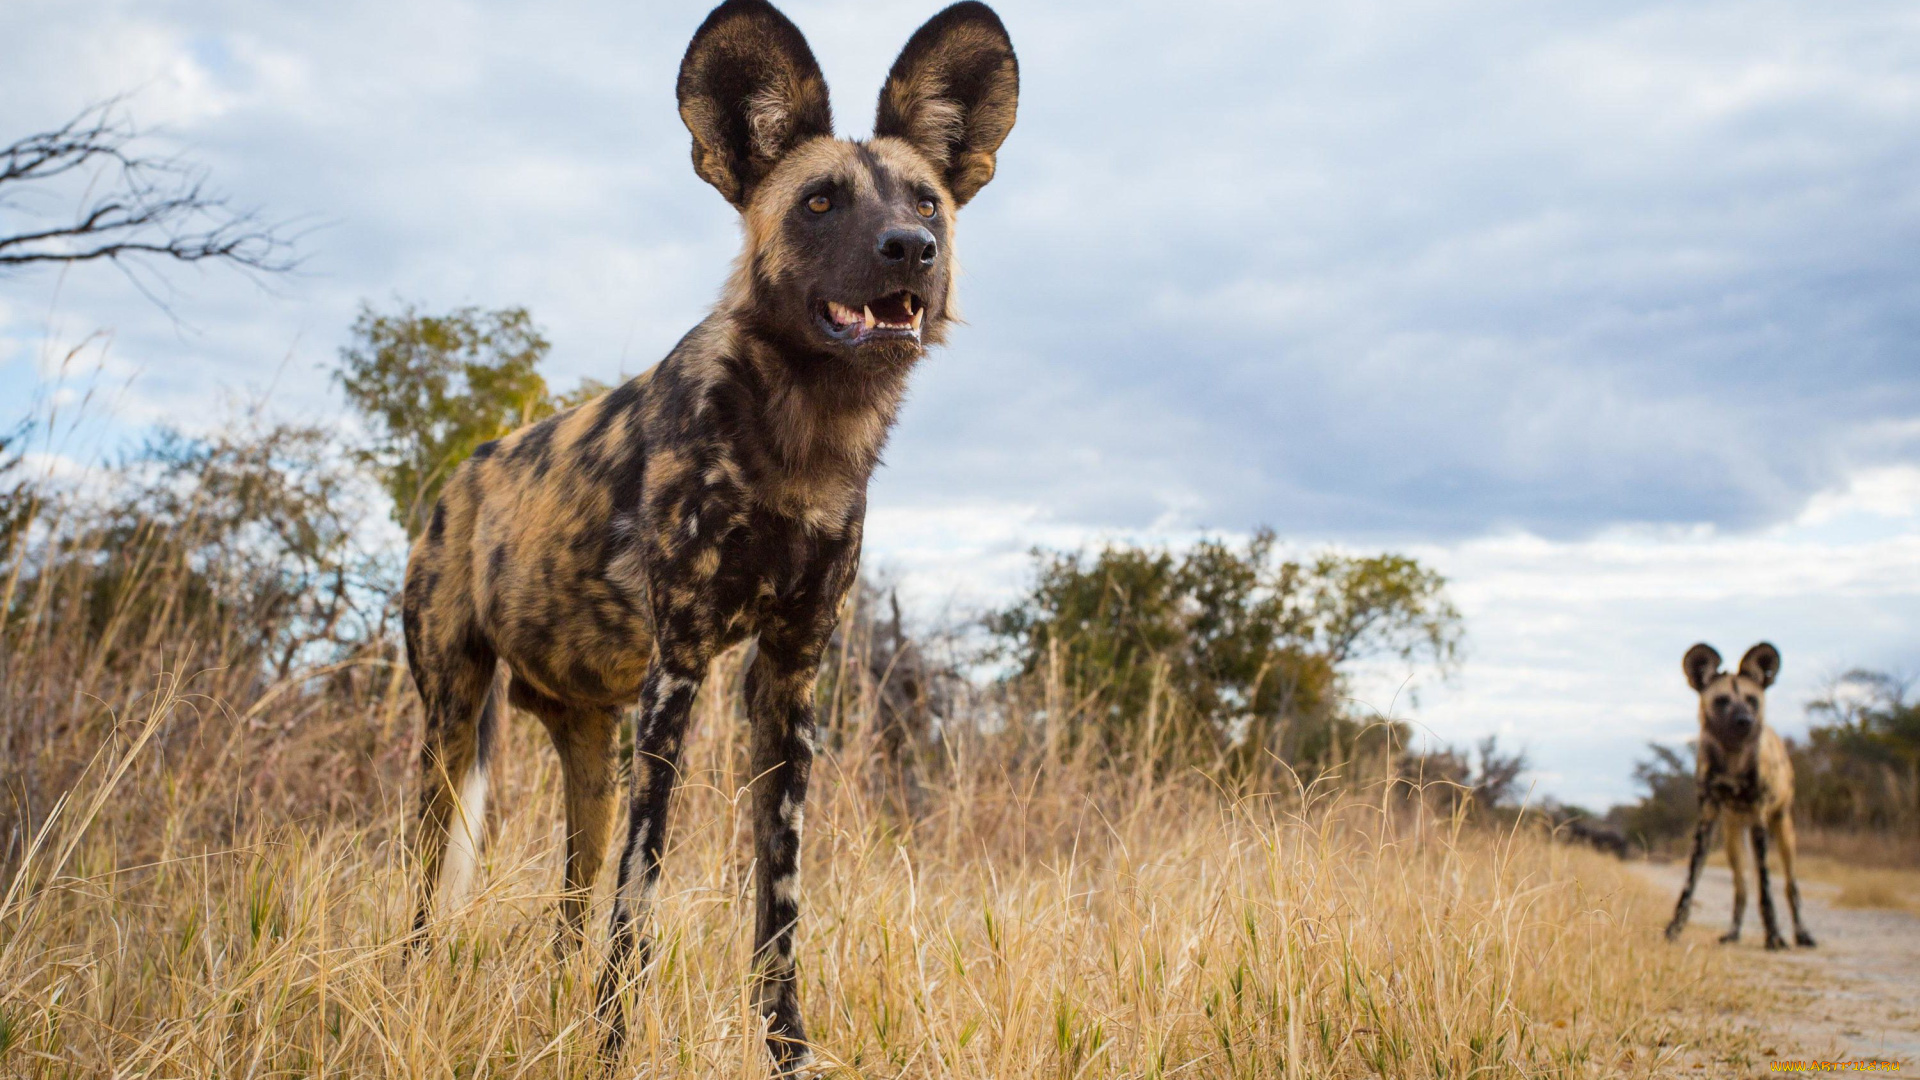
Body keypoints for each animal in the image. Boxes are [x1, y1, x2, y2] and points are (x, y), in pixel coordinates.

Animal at [395, 4, 1013, 1068]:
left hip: (590, 750)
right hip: (452, 727)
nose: (908, 250)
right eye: (819, 202)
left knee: (569, 905)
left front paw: (788, 1055)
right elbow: (638, 910)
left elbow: (778, 914)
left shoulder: (787, 683)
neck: (802, 441)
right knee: (437, 895)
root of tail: (457, 480)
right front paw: (611, 1053)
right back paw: (414, 991)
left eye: (927, 203)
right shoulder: (678, 675)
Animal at [1666, 641, 1812, 945]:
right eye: (1722, 700)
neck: (1733, 756)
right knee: (1741, 885)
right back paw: (1733, 933)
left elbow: (1766, 886)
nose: (1745, 721)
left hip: (1782, 828)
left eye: (1752, 699)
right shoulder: (1707, 819)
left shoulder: (1759, 817)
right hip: (1732, 836)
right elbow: (1690, 882)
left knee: (1789, 884)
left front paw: (1774, 937)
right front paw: (1674, 928)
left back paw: (1802, 933)